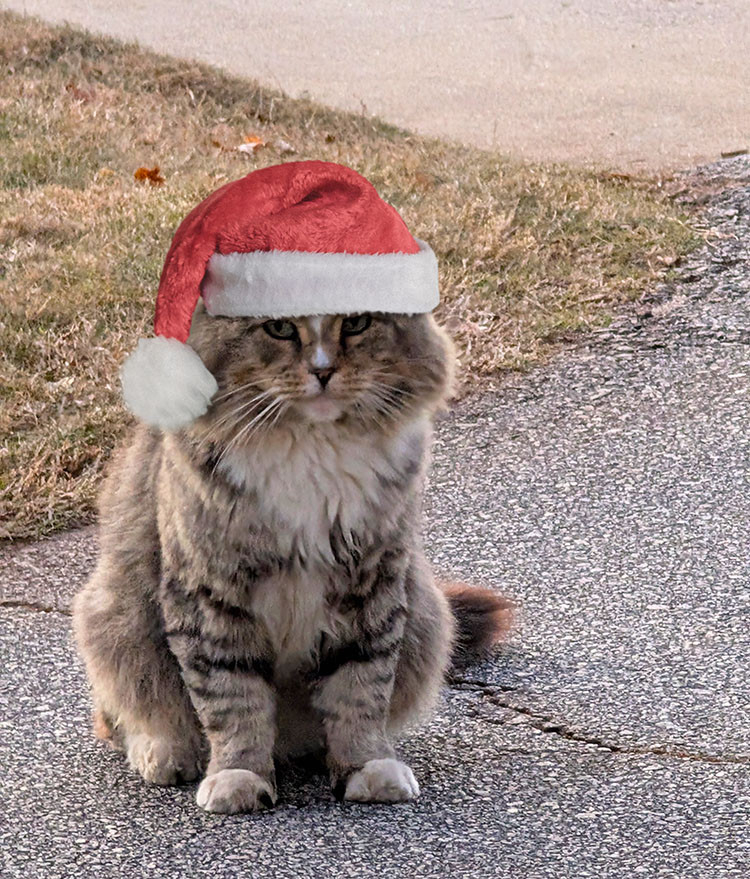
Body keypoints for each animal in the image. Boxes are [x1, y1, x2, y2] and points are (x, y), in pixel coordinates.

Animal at [73, 306, 512, 816]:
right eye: (279, 328)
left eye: (357, 323)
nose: (322, 371)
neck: (312, 446)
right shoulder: (210, 589)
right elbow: (231, 697)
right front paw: (238, 777)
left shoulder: (374, 580)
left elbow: (361, 689)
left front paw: (364, 766)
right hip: (112, 613)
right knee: (126, 713)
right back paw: (165, 753)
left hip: (427, 608)